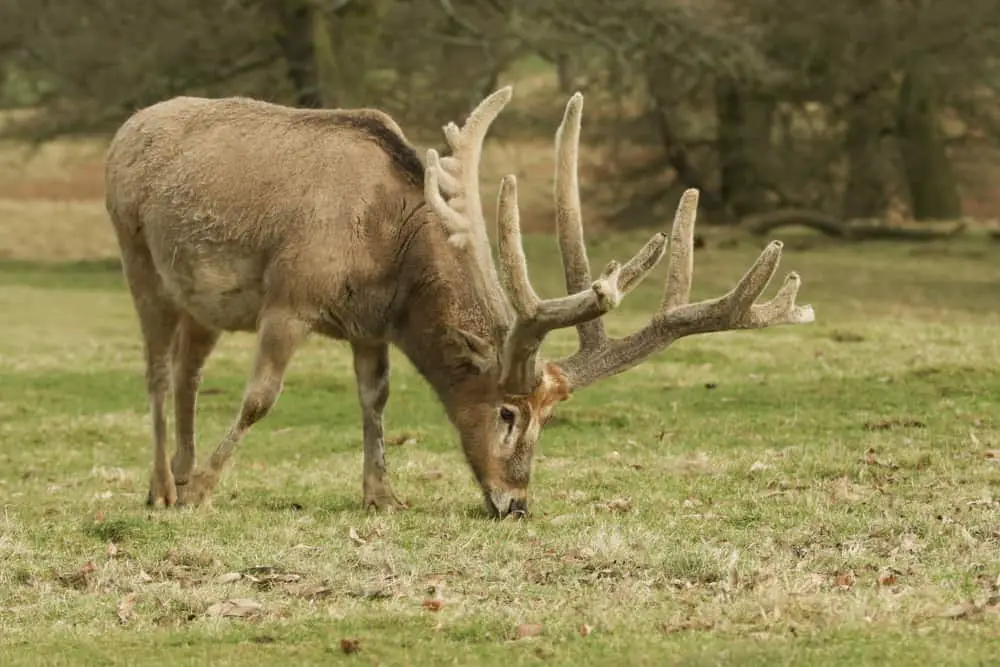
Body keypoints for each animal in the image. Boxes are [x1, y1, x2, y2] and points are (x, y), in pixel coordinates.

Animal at [105, 83, 816, 520]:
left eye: (549, 418)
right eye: (507, 413)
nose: (516, 503)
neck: (387, 245)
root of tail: (123, 131)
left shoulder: (370, 323)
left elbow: (375, 398)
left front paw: (382, 495)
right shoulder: (291, 295)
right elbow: (260, 398)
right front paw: (204, 491)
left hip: (203, 302)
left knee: (189, 373)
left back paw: (171, 474)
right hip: (137, 253)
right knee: (158, 371)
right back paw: (165, 488)